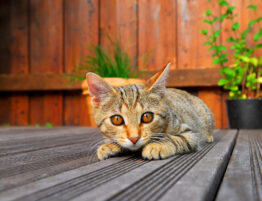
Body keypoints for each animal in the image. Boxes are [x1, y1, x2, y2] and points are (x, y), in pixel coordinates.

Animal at [86, 62, 215, 160]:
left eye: (147, 117)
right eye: (116, 119)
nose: (134, 138)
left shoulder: (191, 134)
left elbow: (176, 138)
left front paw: (157, 146)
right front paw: (110, 145)